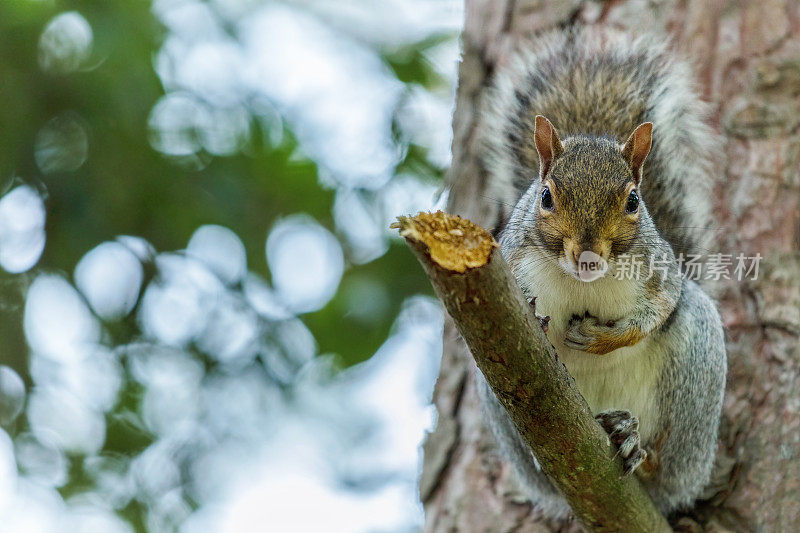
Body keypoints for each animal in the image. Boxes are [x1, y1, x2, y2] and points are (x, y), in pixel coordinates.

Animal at [476, 27, 732, 516]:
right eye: (545, 197)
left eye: (634, 200)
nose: (589, 255)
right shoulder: (510, 260)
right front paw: (533, 310)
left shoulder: (660, 275)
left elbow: (656, 311)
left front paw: (601, 339)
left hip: (695, 371)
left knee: (668, 465)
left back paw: (634, 444)